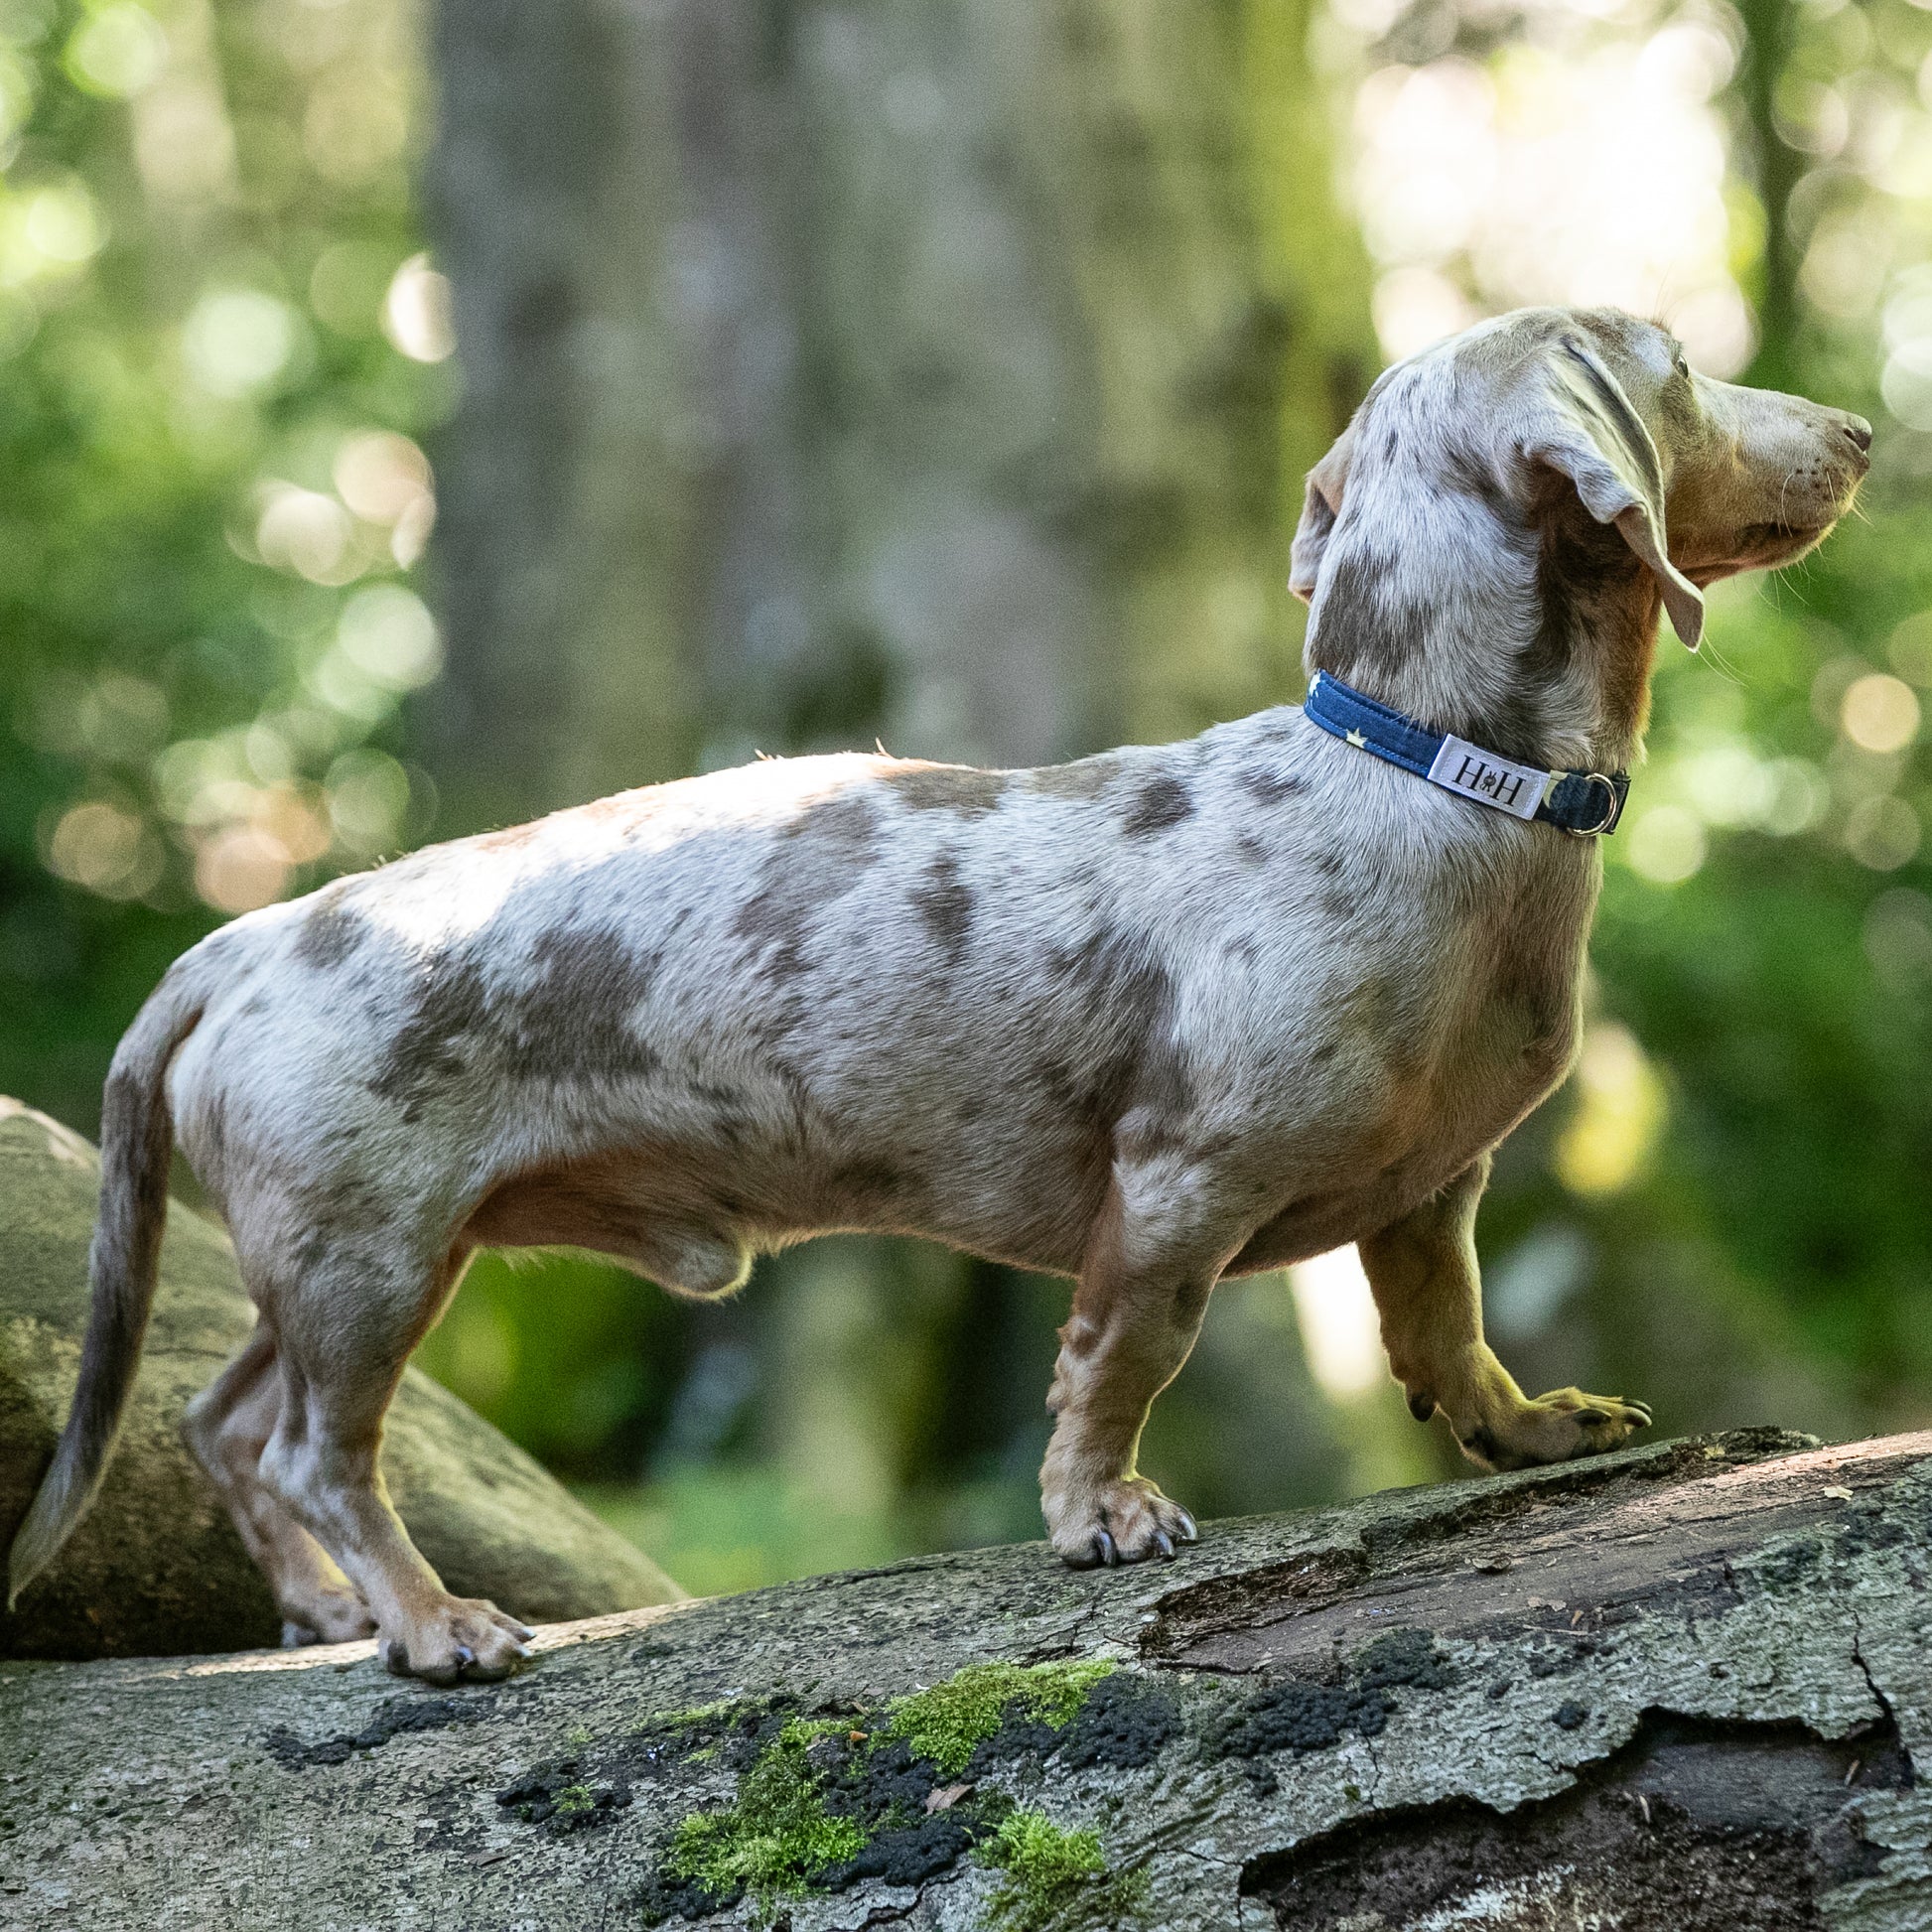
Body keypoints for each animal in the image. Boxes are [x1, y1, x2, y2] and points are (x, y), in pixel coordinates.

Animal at [7, 305, 1862, 1677]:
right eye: (1671, 359)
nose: (1856, 429)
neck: (1422, 782)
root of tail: (243, 938)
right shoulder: (1174, 1194)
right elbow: (1120, 1364)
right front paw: (1102, 1515)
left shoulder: (1433, 1196)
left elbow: (1446, 1338)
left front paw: (1531, 1428)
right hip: (371, 1264)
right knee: (320, 1453)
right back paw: (426, 1622)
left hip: (331, 1268)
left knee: (224, 1423)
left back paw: (319, 1608)